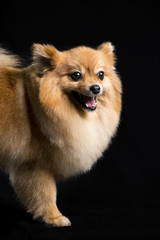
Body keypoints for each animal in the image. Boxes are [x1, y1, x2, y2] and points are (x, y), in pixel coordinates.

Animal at [0, 42, 122, 226]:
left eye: (101, 74)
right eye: (76, 75)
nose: (95, 88)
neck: (35, 106)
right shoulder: (35, 165)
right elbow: (46, 193)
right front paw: (54, 217)